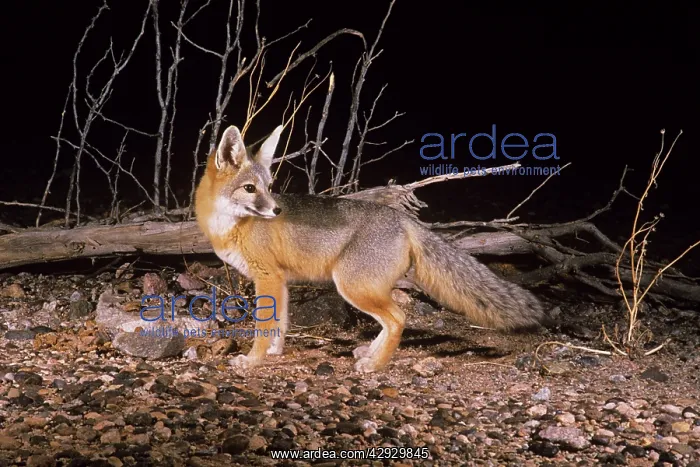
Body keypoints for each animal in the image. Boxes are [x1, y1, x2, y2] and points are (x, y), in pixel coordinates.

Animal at [194, 124, 548, 373]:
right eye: (250, 189)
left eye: (269, 188)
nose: (276, 210)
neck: (230, 226)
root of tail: (403, 218)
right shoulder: (279, 281)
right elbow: (279, 325)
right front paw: (273, 353)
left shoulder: (267, 277)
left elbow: (264, 327)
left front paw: (252, 360)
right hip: (367, 287)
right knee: (392, 320)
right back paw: (371, 354)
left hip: (353, 285)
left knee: (398, 318)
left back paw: (376, 365)